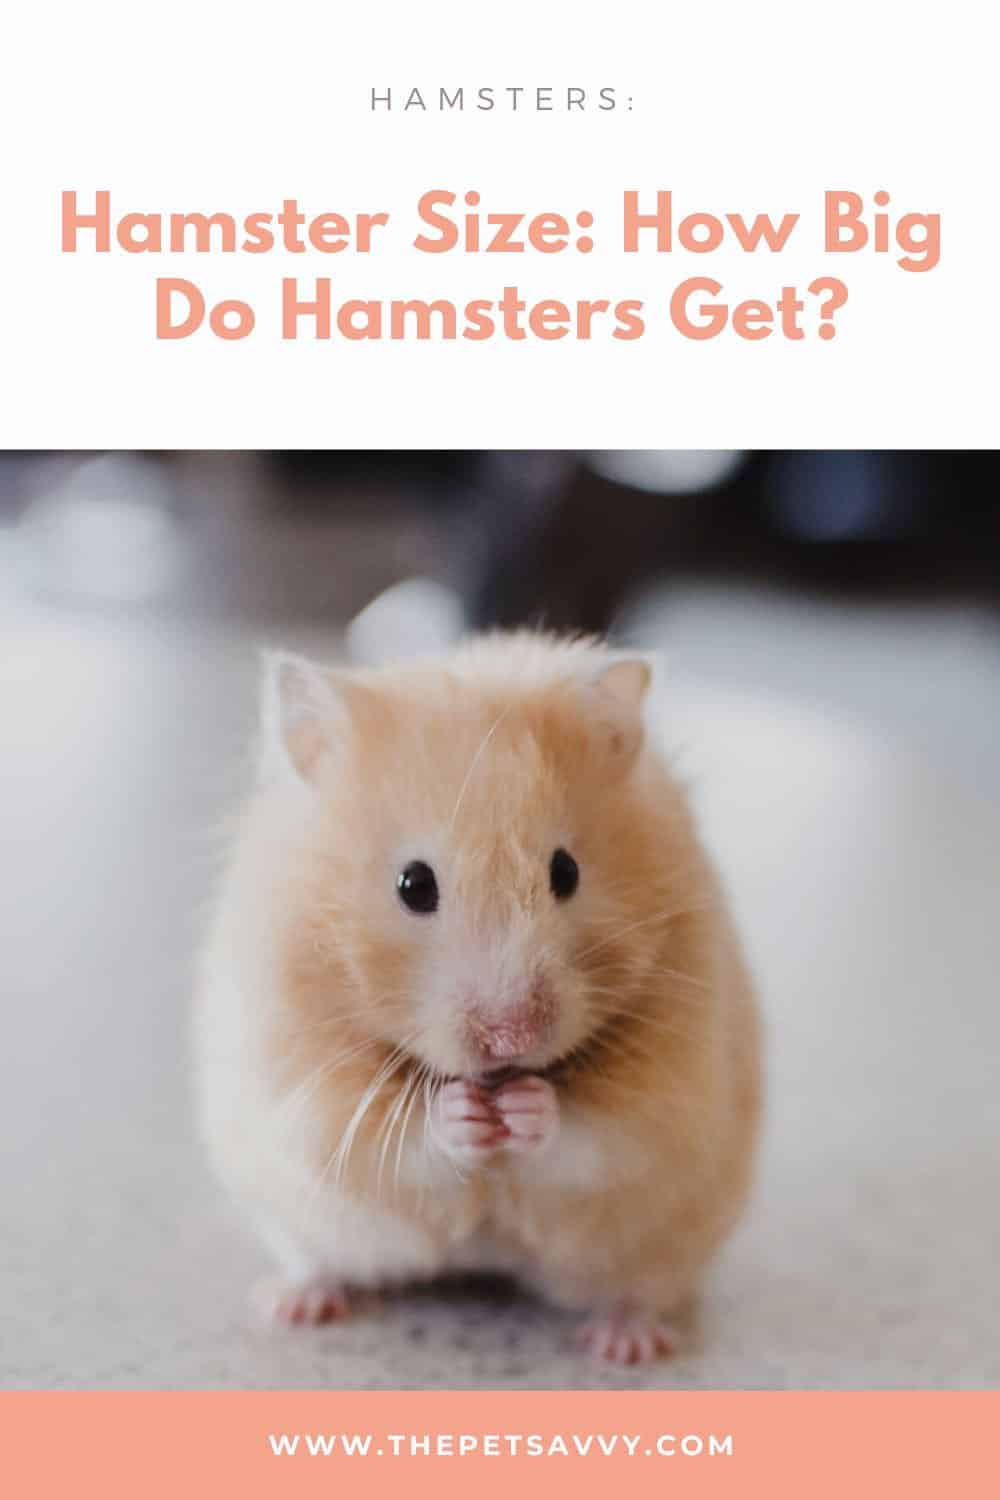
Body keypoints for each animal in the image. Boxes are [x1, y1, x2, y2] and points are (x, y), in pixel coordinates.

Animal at [194, 631, 761, 1364]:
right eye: (413, 885)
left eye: (566, 872)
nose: (511, 1038)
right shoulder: (303, 1081)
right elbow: (394, 1138)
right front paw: (465, 1113)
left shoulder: (671, 1085)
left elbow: (595, 1134)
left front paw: (525, 1108)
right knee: (315, 1259)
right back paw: (294, 1305)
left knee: (641, 1289)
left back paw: (626, 1344)